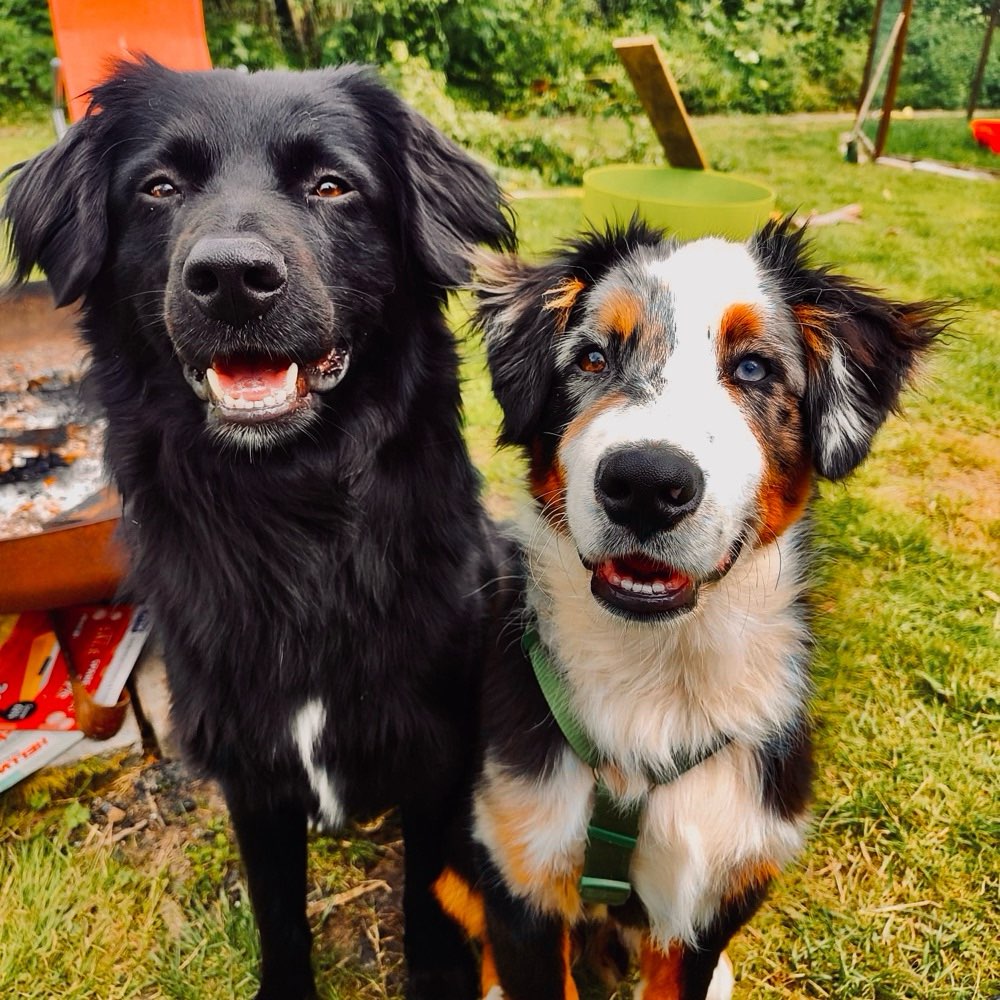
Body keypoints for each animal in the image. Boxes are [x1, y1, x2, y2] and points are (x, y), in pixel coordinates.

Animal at [1, 58, 516, 996]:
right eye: (160, 187)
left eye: (332, 185)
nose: (233, 279)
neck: (293, 516)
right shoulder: (251, 767)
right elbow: (280, 915)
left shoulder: (435, 751)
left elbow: (428, 904)